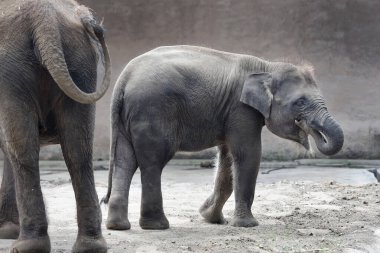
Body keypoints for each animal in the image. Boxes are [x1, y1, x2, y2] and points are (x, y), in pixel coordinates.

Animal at [0, 0, 111, 253]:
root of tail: (43, 17)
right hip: (80, 60)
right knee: (78, 150)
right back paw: (90, 246)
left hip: (10, 70)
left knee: (23, 148)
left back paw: (26, 245)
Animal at [103, 45, 344, 231]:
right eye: (300, 102)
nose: (308, 132)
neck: (267, 67)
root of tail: (123, 79)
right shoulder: (241, 109)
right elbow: (248, 155)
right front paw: (247, 225)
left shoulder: (231, 112)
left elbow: (228, 159)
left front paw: (211, 218)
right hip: (152, 111)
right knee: (152, 162)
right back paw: (157, 226)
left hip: (128, 119)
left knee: (125, 161)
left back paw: (118, 226)